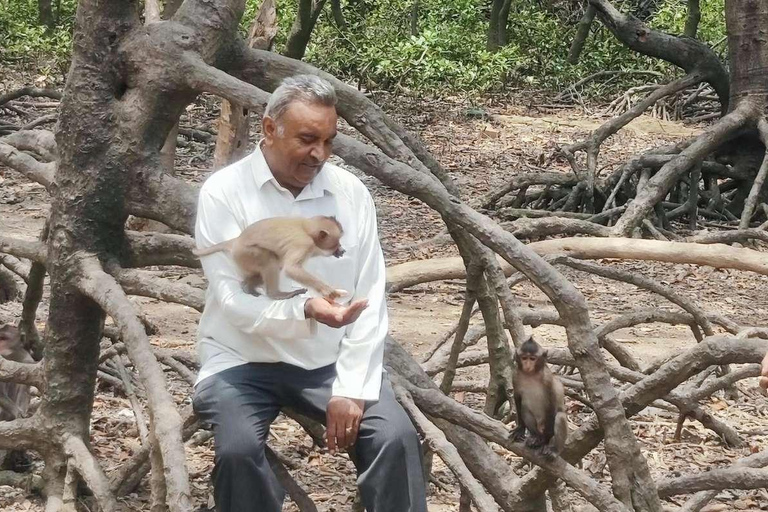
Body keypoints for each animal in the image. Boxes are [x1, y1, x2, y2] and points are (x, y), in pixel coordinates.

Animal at [194, 215, 350, 300]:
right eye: (336, 243)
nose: (342, 249)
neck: (306, 229)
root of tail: (236, 241)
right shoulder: (303, 243)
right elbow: (291, 269)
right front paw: (329, 291)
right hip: (245, 253)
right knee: (270, 260)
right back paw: (276, 294)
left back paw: (248, 286)